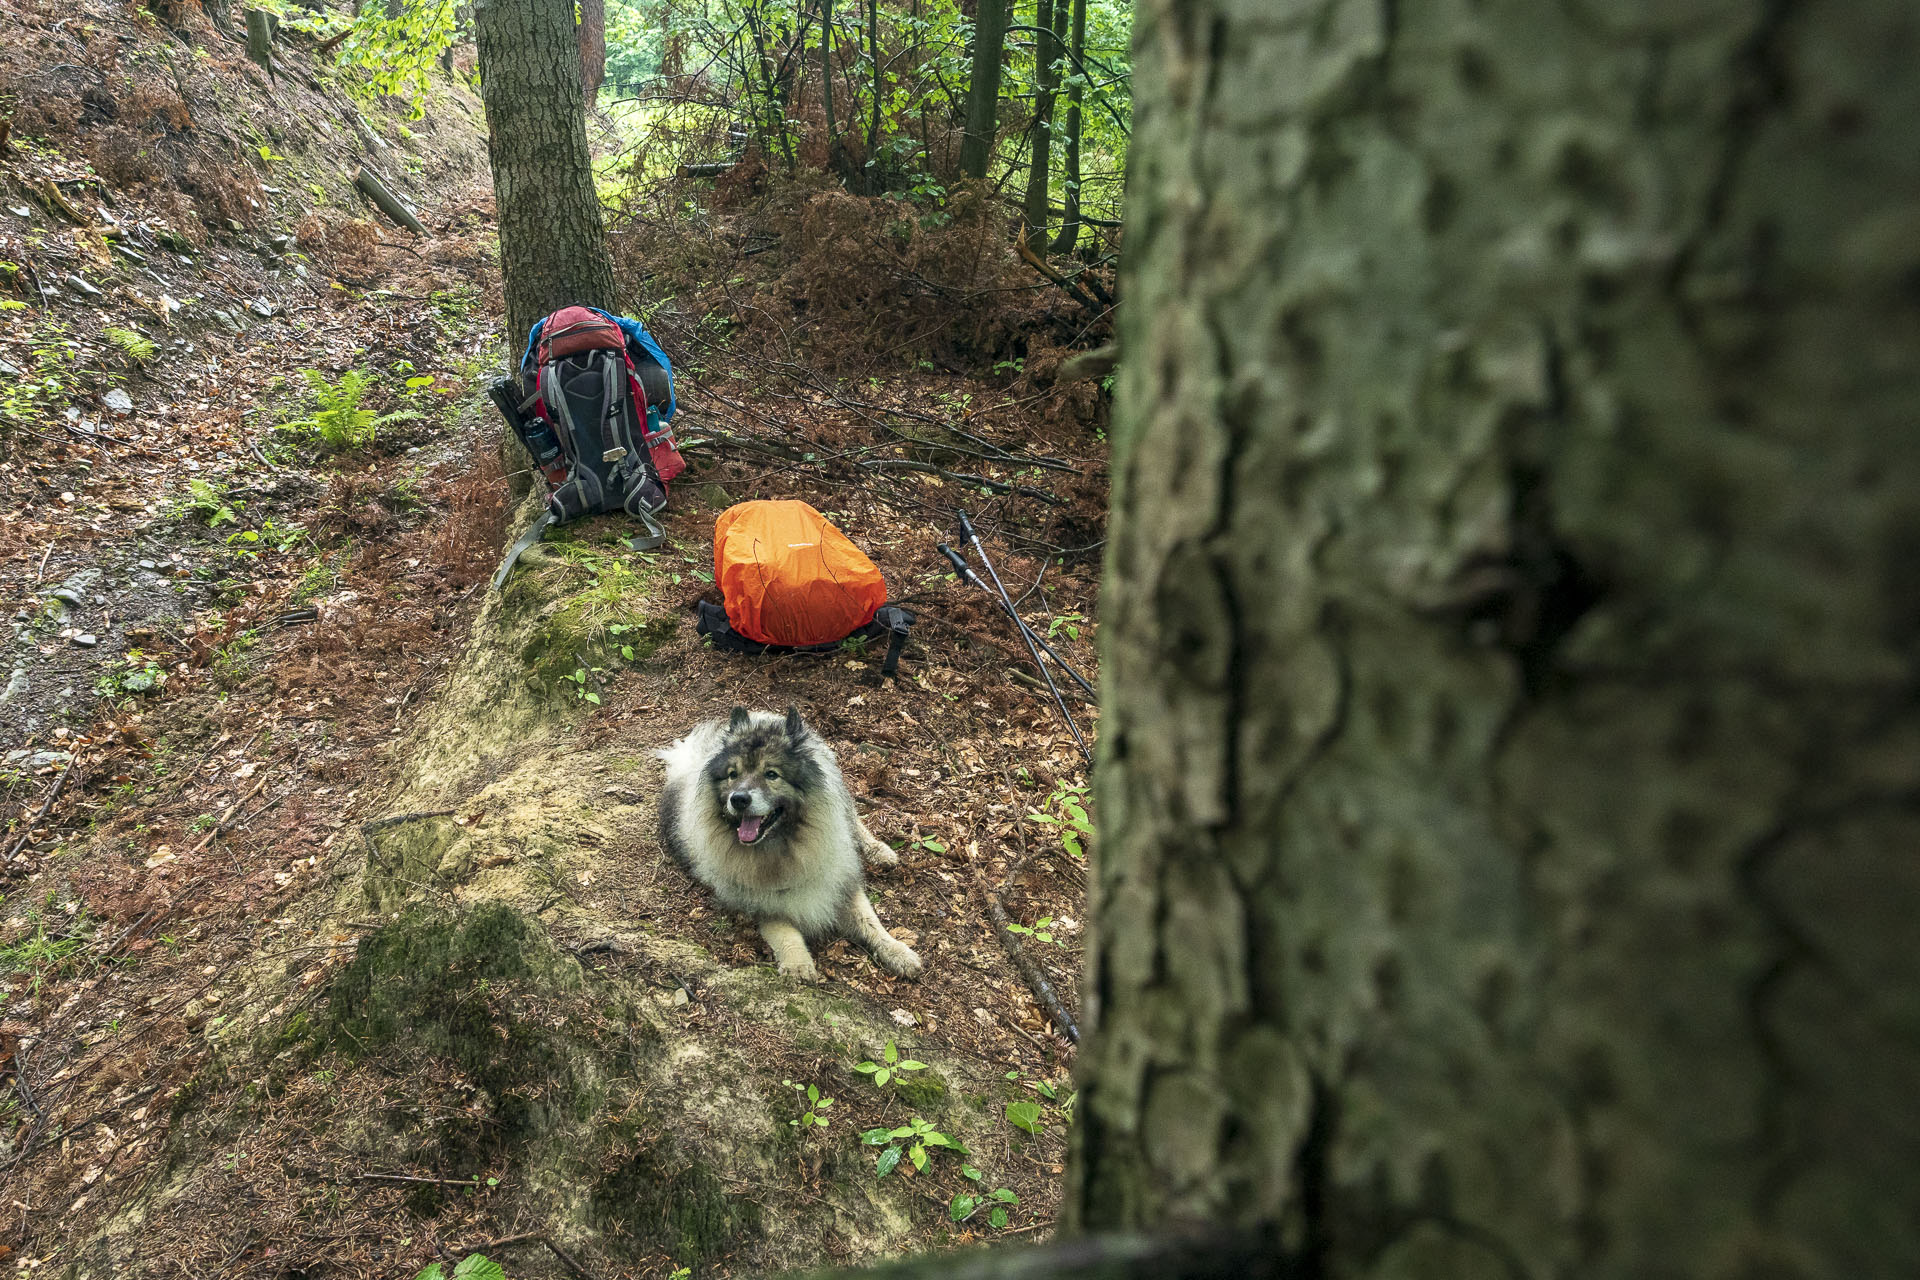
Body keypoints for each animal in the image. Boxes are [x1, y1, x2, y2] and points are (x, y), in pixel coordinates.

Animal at [660, 706, 921, 990]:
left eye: (771, 774)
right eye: (733, 774)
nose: (738, 799)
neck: (784, 843)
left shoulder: (842, 881)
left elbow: (871, 922)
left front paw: (898, 952)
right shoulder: (759, 900)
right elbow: (784, 929)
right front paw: (798, 963)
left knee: (854, 820)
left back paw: (878, 850)